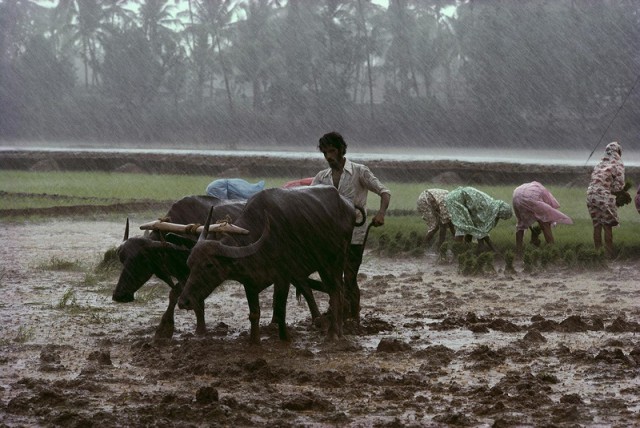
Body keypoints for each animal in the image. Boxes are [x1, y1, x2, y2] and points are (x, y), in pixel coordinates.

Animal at [178, 186, 356, 342]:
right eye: (189, 263)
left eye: (209, 265)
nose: (184, 302)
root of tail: (347, 204)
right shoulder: (249, 282)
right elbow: (254, 314)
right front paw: (254, 341)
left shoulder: (283, 277)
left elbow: (280, 308)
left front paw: (285, 338)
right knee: (336, 292)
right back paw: (339, 330)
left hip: (336, 260)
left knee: (336, 291)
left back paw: (333, 333)